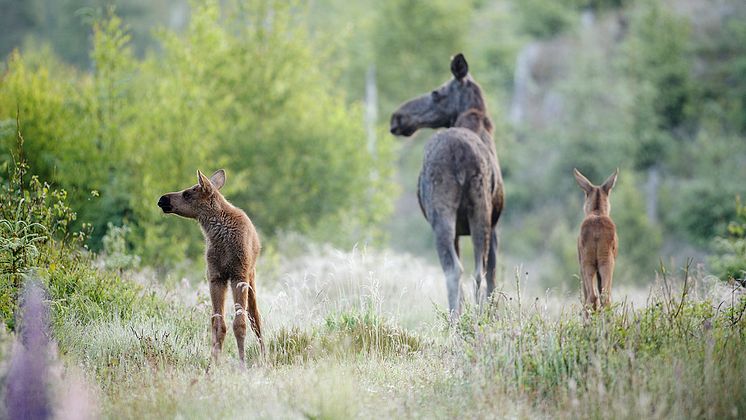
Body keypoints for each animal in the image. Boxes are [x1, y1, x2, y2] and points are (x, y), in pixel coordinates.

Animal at [155, 169, 264, 366]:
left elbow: (240, 323)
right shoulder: (215, 277)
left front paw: (242, 363)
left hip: (251, 275)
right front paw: (213, 363)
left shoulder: (239, 275)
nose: (162, 199)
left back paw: (265, 356)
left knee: (255, 318)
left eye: (187, 193)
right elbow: (218, 324)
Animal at [386, 53, 502, 316]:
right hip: (476, 210)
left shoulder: (489, 223)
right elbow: (492, 275)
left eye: (436, 93)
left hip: (446, 213)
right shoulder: (490, 224)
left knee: (456, 269)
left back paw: (457, 319)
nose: (397, 117)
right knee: (473, 270)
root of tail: (458, 153)